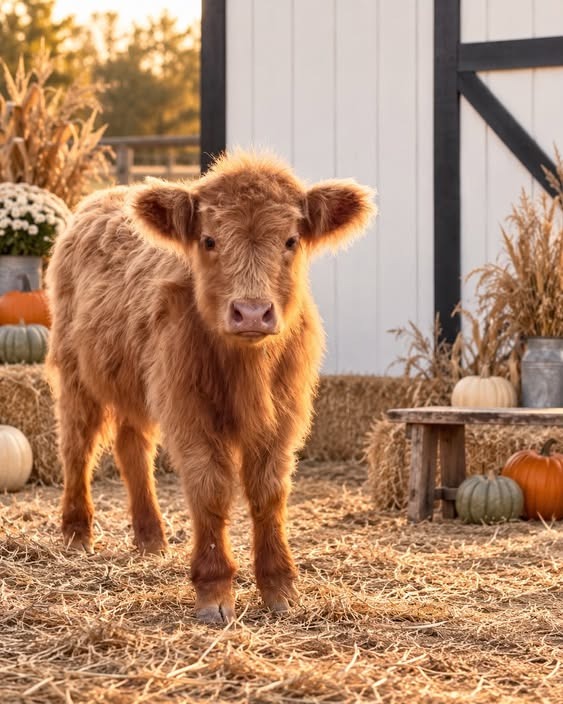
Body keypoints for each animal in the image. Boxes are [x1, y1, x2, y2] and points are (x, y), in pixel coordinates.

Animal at [46, 150, 376, 623]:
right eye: (208, 240)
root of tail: (104, 197)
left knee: (132, 448)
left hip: (134, 387)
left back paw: (151, 538)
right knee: (77, 446)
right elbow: (211, 489)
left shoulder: (283, 416)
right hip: (75, 373)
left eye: (291, 240)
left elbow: (269, 492)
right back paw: (76, 533)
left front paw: (279, 587)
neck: (247, 369)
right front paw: (214, 590)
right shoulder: (189, 411)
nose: (252, 312)